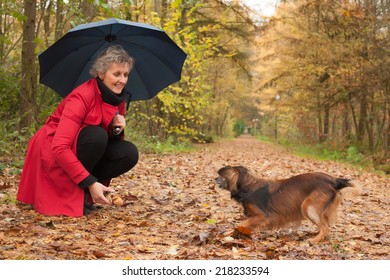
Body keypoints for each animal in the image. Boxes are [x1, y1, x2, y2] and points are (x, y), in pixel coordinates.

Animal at [216, 165, 360, 242]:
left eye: (221, 176)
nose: (214, 179)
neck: (248, 187)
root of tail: (334, 180)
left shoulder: (261, 216)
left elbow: (240, 224)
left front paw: (227, 233)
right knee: (324, 225)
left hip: (307, 206)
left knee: (325, 227)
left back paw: (314, 240)